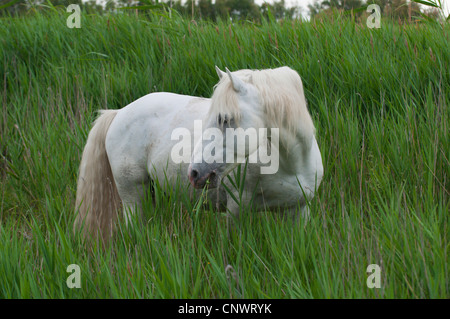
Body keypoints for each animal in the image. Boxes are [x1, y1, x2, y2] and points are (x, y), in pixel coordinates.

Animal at [74, 66, 322, 241]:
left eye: (224, 119)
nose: (194, 173)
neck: (292, 165)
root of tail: (119, 112)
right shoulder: (236, 209)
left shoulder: (300, 212)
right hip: (133, 197)